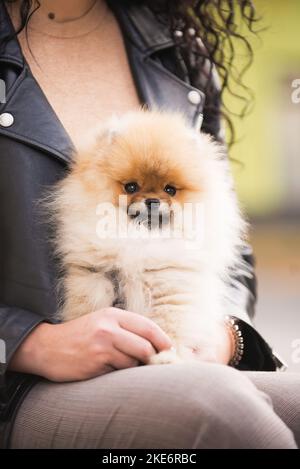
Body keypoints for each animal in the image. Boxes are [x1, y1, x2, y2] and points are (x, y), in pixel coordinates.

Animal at [49, 108, 246, 364]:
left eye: (170, 190)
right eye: (131, 187)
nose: (152, 200)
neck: (141, 237)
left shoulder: (170, 285)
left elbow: (168, 328)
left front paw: (167, 357)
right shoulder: (94, 275)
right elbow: (89, 308)